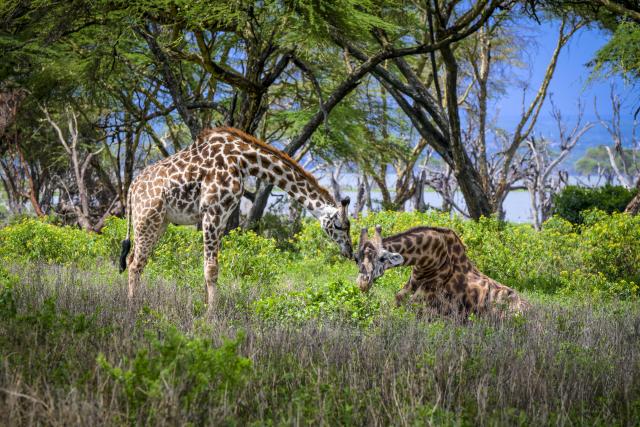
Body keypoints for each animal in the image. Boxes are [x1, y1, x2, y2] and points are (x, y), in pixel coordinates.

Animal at [119, 127, 353, 306]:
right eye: (340, 226)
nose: (350, 252)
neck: (243, 160)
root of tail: (132, 187)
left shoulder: (222, 217)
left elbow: (210, 269)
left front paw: (206, 306)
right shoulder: (212, 212)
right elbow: (211, 269)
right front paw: (211, 317)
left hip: (160, 222)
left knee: (133, 259)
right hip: (148, 218)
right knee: (136, 263)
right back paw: (132, 308)